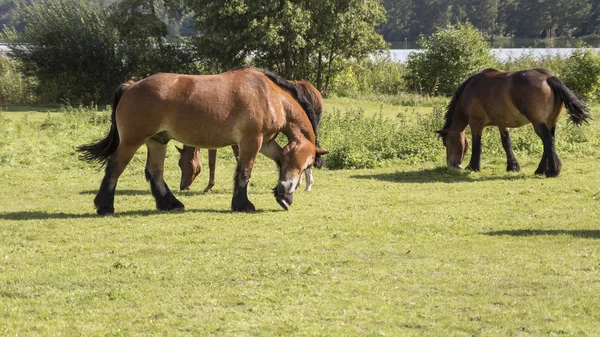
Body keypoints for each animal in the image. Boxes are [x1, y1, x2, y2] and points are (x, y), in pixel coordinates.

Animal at [436, 67, 592, 177]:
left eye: (445, 143)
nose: (453, 165)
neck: (470, 90)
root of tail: (549, 78)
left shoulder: (476, 123)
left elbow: (477, 145)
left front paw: (473, 167)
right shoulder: (502, 124)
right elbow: (507, 144)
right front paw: (513, 167)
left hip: (538, 123)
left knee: (548, 140)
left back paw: (552, 171)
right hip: (551, 122)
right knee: (549, 141)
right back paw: (541, 170)